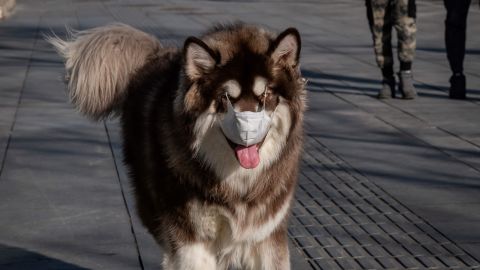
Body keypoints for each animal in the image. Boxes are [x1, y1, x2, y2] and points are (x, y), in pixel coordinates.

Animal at [47, 22, 304, 268]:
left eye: (266, 95)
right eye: (226, 98)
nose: (247, 132)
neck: (237, 183)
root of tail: (158, 53)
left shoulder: (267, 236)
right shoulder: (191, 237)